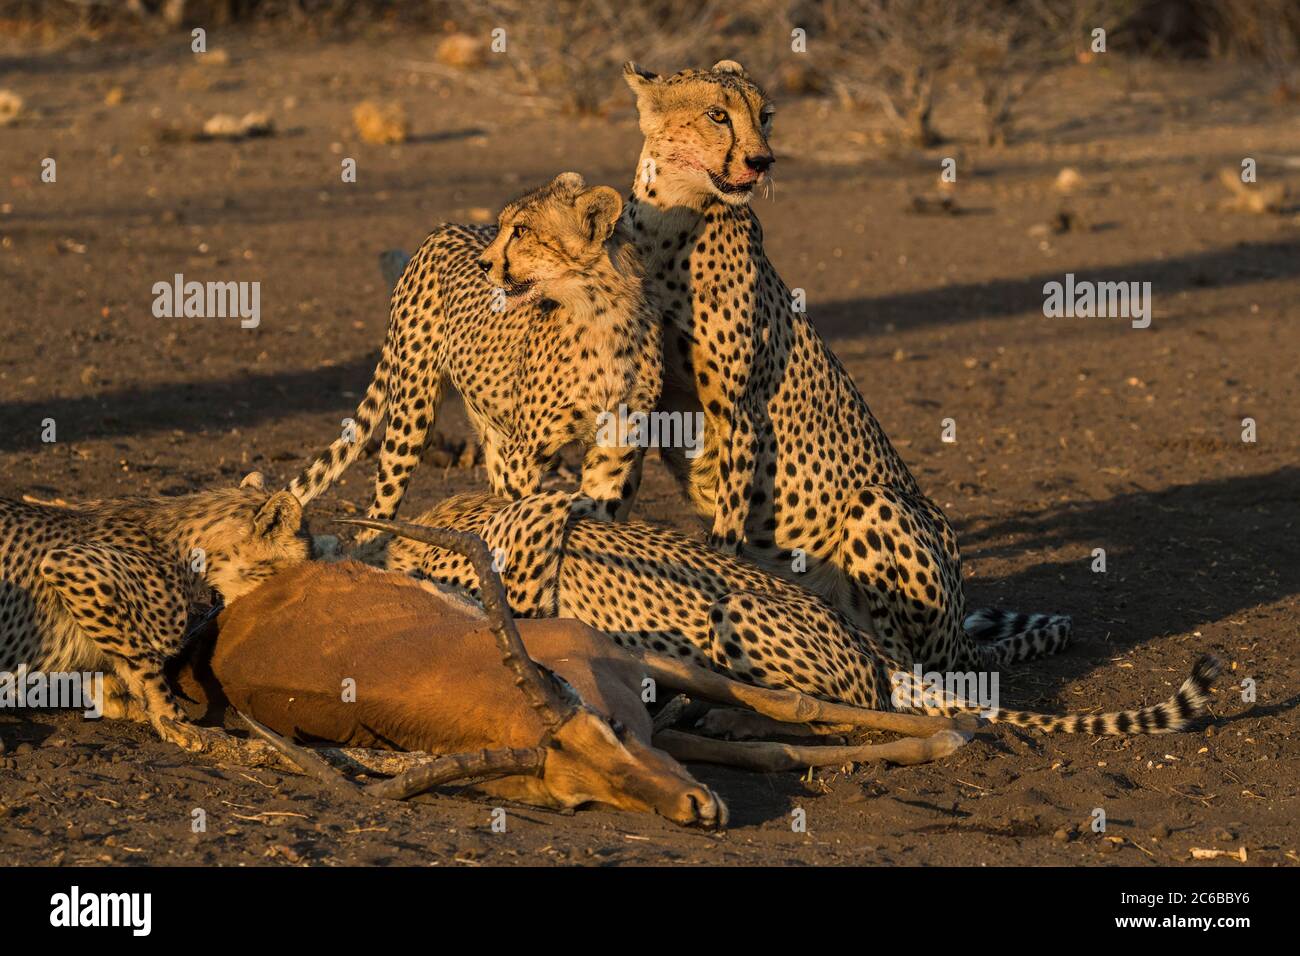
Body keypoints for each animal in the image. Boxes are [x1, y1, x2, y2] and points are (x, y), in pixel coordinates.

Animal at [292, 171, 660, 530]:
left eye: (521, 231)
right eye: (503, 227)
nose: (483, 264)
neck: (599, 315)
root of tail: (444, 228)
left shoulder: (614, 449)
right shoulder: (524, 454)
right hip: (412, 411)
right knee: (382, 502)